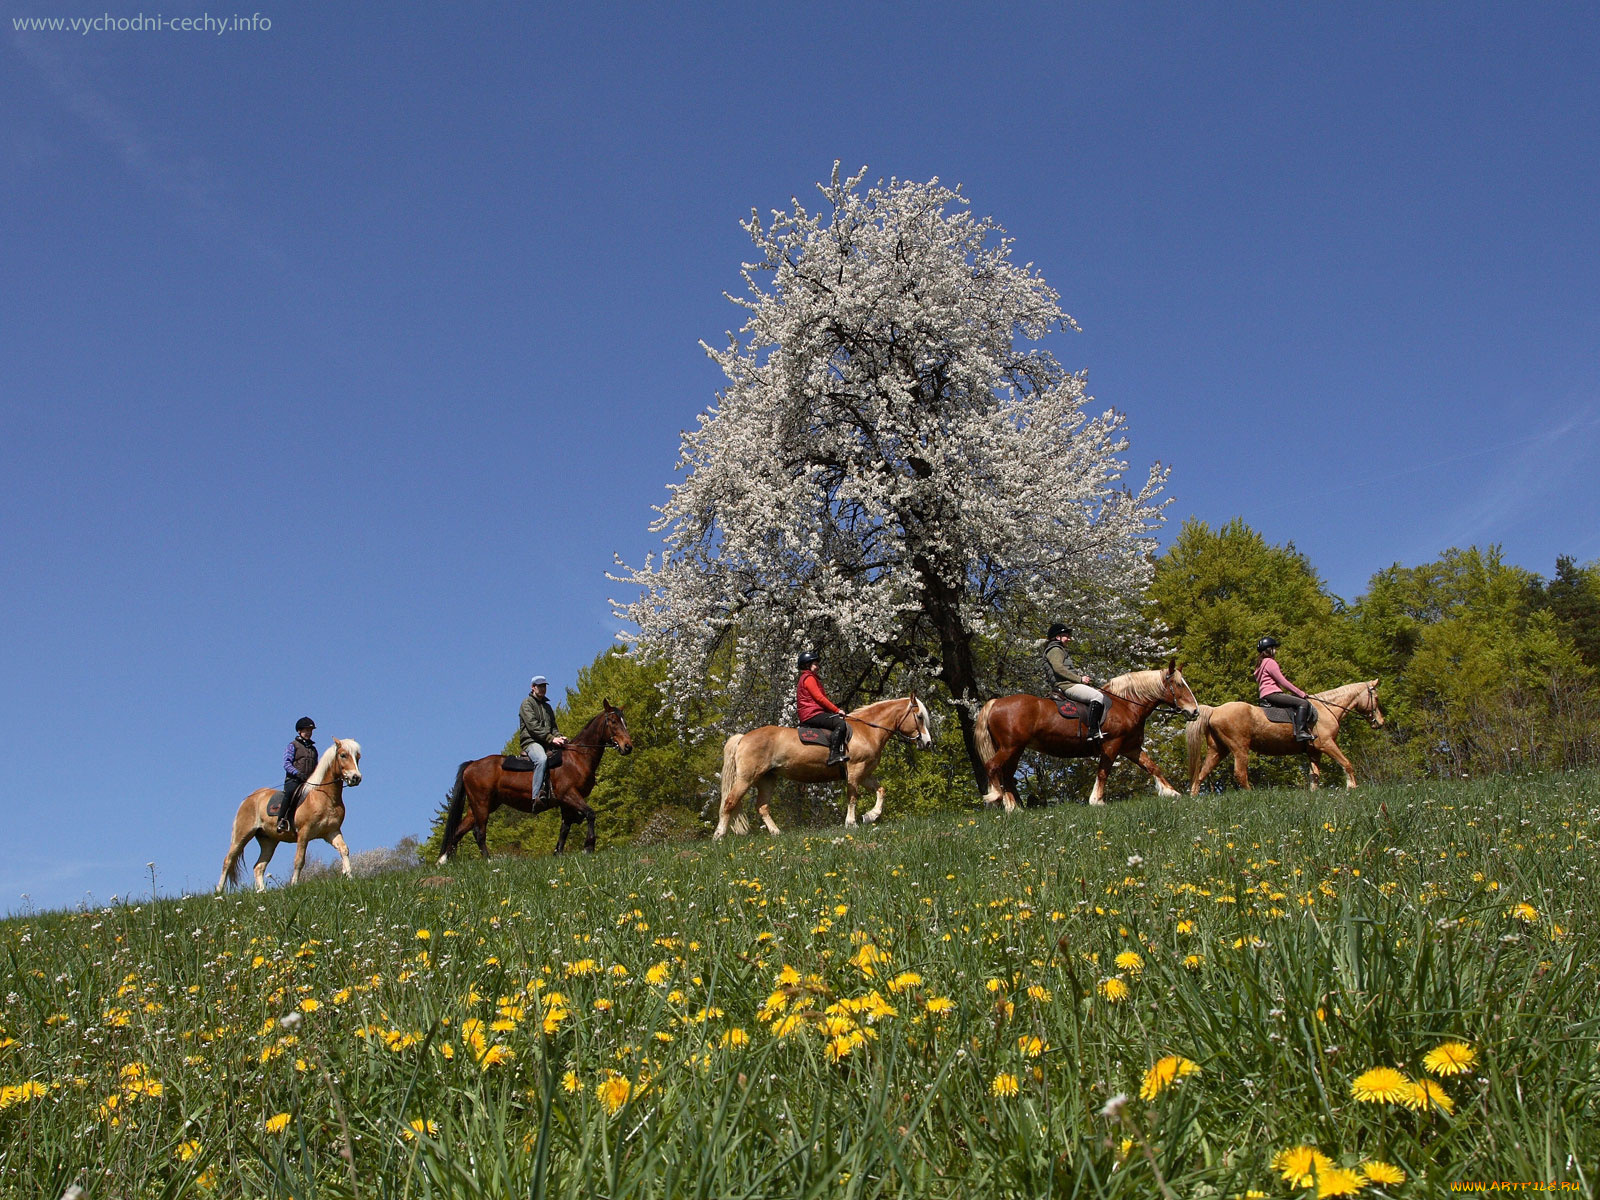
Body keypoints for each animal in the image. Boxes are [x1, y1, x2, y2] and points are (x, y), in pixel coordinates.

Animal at [212, 732, 360, 896]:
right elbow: (299, 860)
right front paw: (294, 884)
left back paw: (262, 891)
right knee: (228, 860)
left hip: (268, 841)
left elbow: (344, 850)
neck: (323, 797)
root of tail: (249, 798)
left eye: (358, 757)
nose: (356, 778)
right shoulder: (304, 833)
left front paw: (349, 876)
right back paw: (219, 891)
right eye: (343, 755)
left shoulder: (331, 832)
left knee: (258, 867)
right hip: (242, 835)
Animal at [444, 704, 636, 864]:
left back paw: (444, 861)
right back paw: (488, 860)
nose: (628, 747)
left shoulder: (567, 803)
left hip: (479, 806)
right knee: (479, 832)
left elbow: (565, 827)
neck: (577, 757)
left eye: (625, 722)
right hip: (482, 805)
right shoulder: (569, 794)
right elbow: (590, 814)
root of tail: (472, 764)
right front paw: (588, 847)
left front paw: (558, 853)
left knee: (458, 831)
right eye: (613, 721)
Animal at [720, 694, 934, 838]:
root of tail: (743, 738)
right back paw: (719, 835)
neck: (867, 730)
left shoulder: (865, 774)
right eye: (919, 717)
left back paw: (776, 832)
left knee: (762, 807)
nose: (928, 743)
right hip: (746, 778)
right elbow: (852, 796)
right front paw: (851, 823)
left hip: (767, 778)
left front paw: (870, 816)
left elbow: (881, 791)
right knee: (729, 802)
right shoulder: (855, 770)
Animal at [966, 662, 1196, 812]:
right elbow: (1103, 772)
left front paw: (1171, 793)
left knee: (1006, 774)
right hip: (1009, 747)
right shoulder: (1112, 746)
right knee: (992, 767)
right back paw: (998, 798)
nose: (1194, 712)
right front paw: (1097, 801)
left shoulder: (1130, 748)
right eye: (1179, 685)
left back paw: (1014, 808)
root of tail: (996, 702)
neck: (1125, 704)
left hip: (1015, 749)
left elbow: (1152, 767)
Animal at [1184, 681, 1382, 793]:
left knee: (1201, 774)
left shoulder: (1314, 752)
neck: (1326, 709)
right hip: (1240, 748)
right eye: (1376, 698)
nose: (1380, 722)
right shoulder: (1326, 744)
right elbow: (1347, 763)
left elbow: (1314, 776)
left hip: (1218, 750)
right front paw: (1352, 787)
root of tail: (1215, 710)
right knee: (1240, 774)